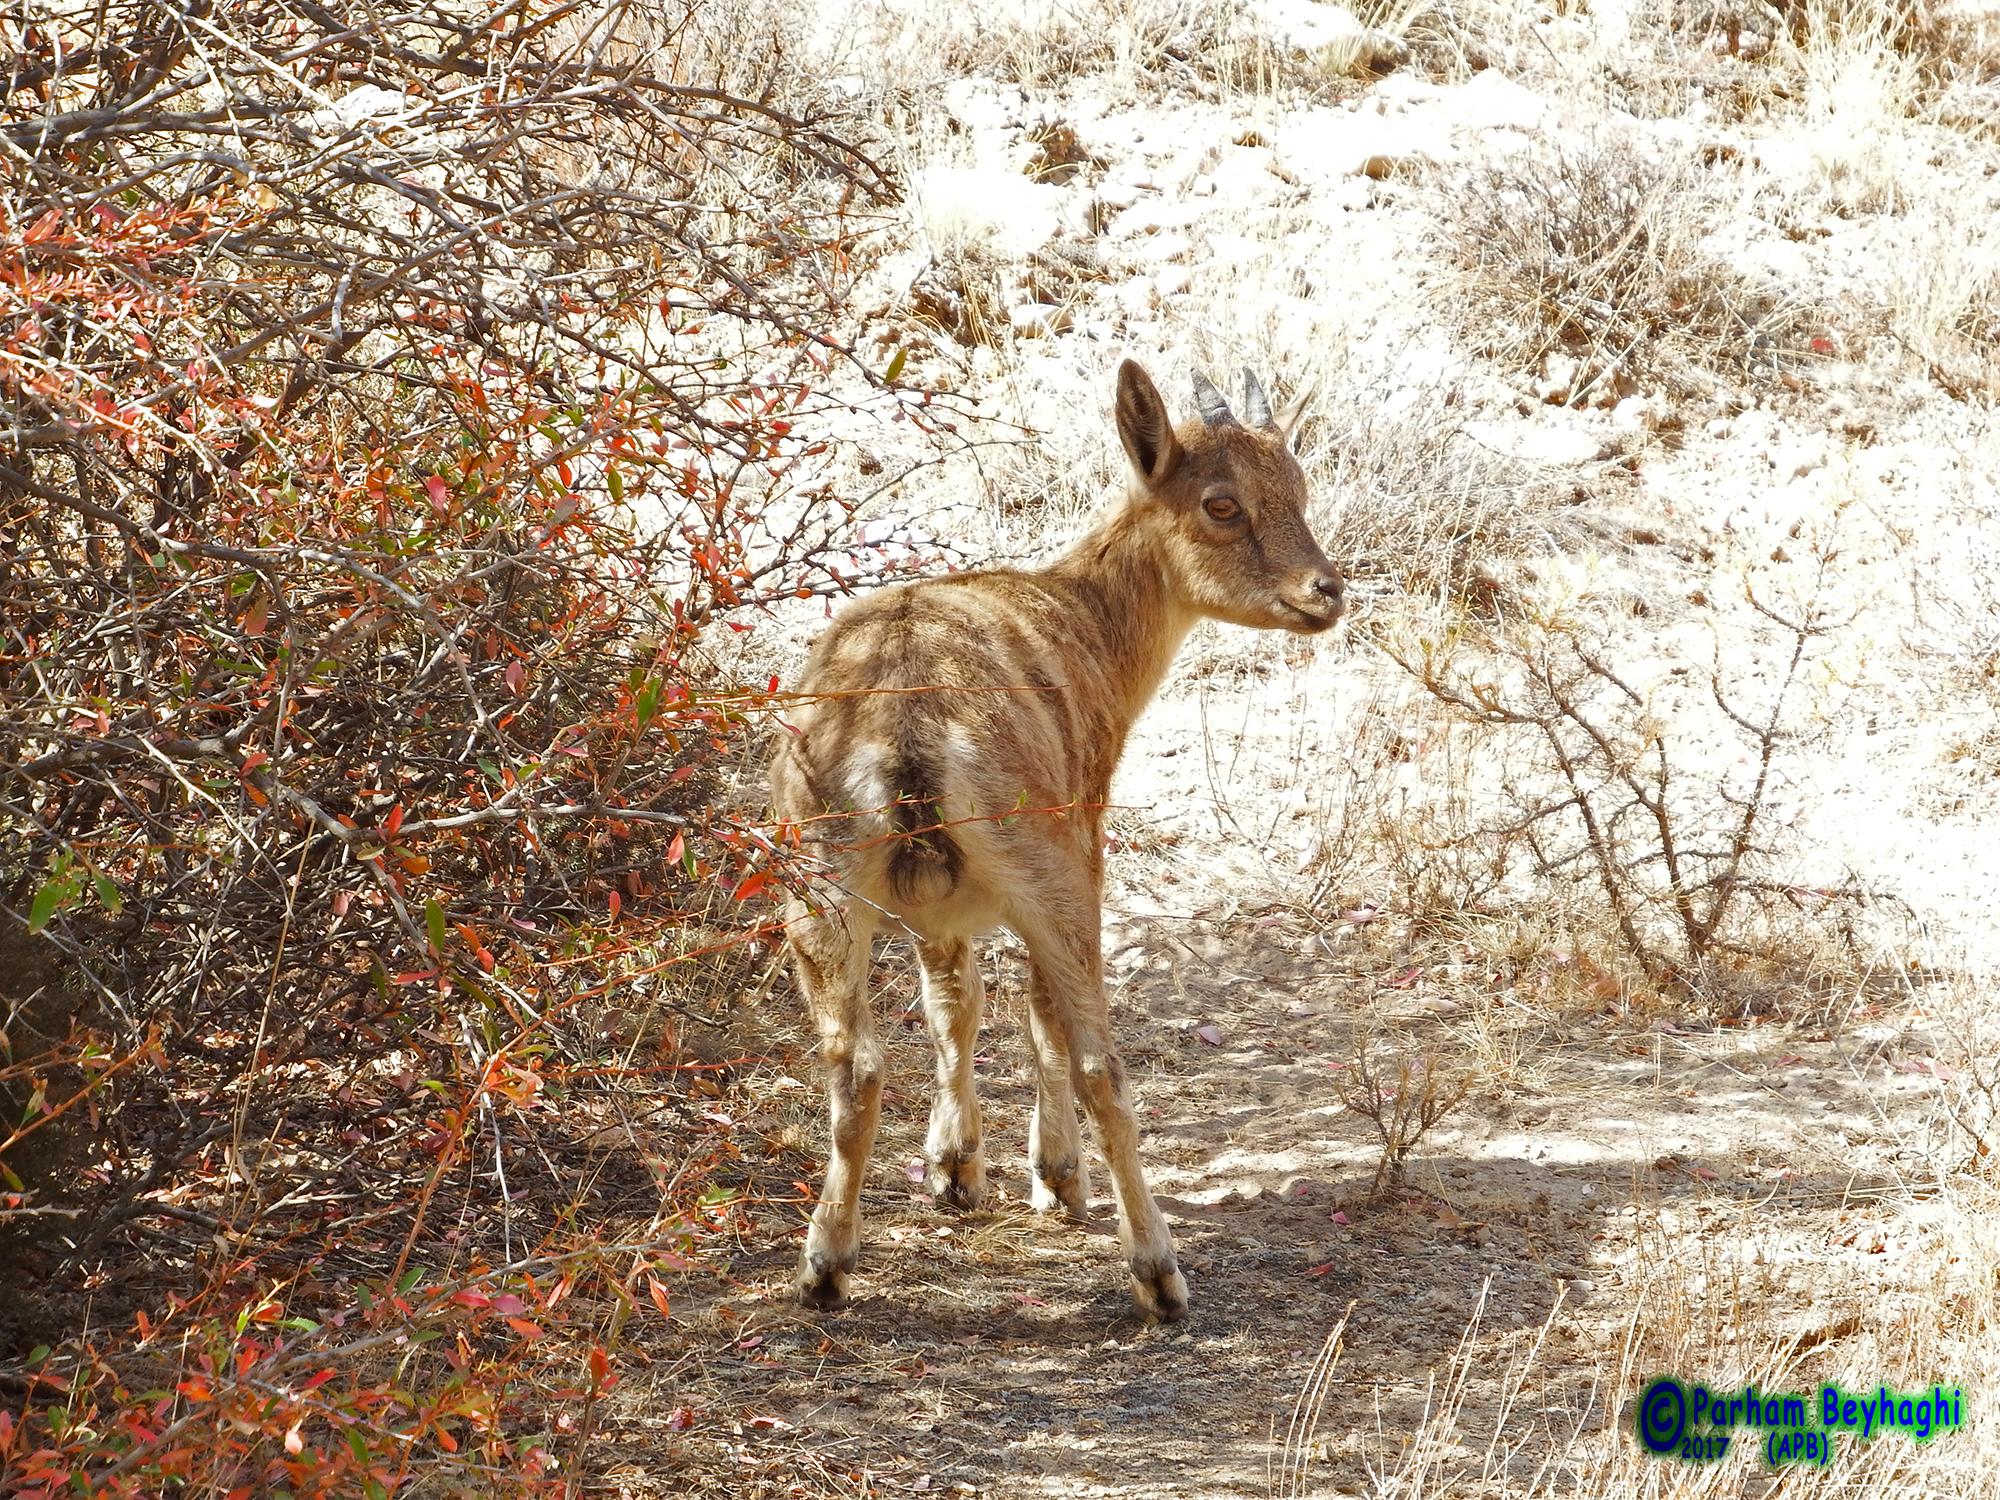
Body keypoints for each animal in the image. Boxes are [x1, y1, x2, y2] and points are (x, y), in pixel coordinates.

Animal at [771, 359, 1344, 1320]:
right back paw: (1159, 1273)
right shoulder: (1081, 838)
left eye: (1300, 487)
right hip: (1048, 869)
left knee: (854, 1068)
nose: (1325, 592)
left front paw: (954, 1169)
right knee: (1101, 1065)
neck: (1091, 626)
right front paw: (1053, 1174)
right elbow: (1035, 1013)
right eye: (1221, 502)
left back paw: (825, 1265)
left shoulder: (939, 907)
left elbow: (952, 999)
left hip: (814, 883)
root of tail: (905, 734)